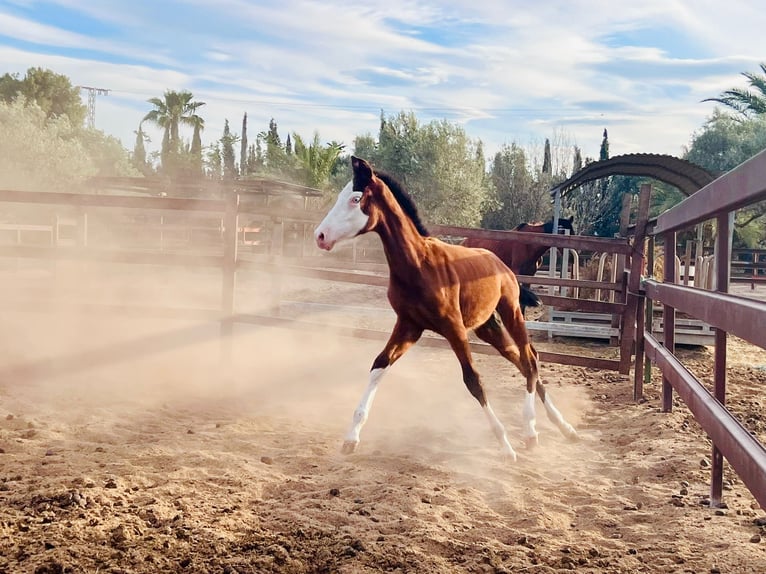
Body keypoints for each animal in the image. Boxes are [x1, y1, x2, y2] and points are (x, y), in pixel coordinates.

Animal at [312, 158, 576, 464]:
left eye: (355, 199)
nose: (320, 236)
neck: (419, 265)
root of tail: (499, 263)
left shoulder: (453, 327)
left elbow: (473, 381)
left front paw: (505, 446)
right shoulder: (409, 326)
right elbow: (379, 364)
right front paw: (350, 438)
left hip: (511, 310)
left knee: (530, 358)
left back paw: (532, 431)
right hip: (488, 327)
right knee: (522, 360)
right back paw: (564, 427)